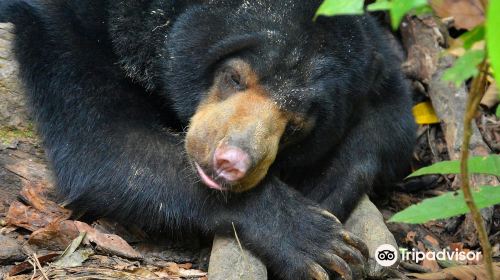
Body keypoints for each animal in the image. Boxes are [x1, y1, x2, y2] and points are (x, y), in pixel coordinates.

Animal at [0, 1, 416, 278]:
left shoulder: (377, 57)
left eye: (296, 126)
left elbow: (392, 120)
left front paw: (325, 192)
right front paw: (317, 242)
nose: (231, 162)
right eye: (234, 77)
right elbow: (108, 144)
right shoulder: (67, 26)